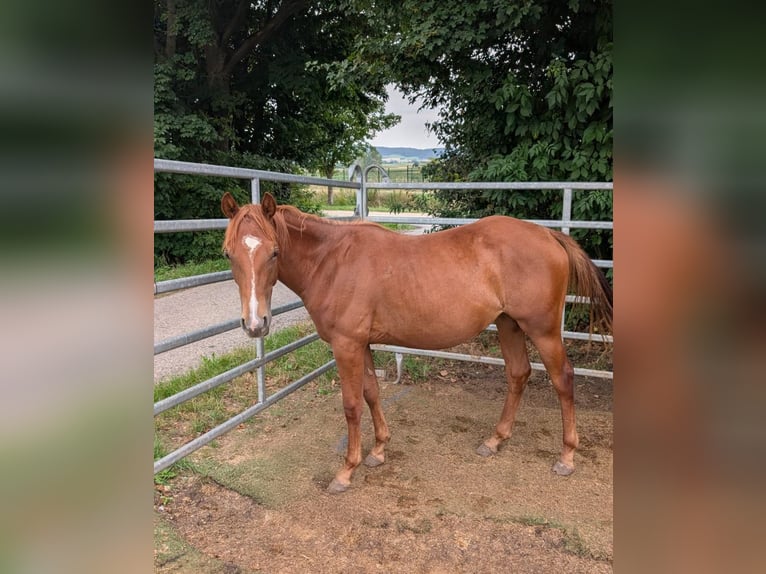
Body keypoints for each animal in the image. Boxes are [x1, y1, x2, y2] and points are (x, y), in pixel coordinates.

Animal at [221, 192, 612, 493]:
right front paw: (378, 450)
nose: (255, 324)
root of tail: (549, 236)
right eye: (229, 254)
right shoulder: (362, 344)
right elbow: (372, 393)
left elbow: (351, 405)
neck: (333, 262)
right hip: (509, 325)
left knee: (563, 379)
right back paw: (495, 440)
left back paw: (566, 456)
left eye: (273, 252)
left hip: (542, 330)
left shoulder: (346, 345)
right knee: (518, 374)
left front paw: (347, 471)